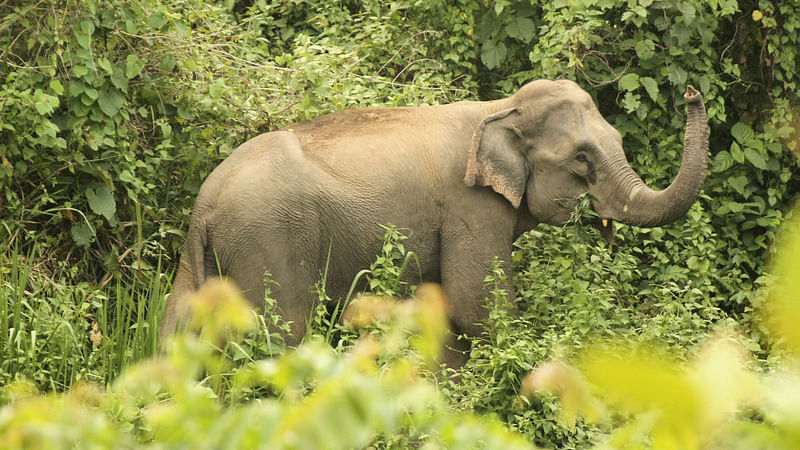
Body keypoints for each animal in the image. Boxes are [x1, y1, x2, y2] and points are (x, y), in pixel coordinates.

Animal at [161, 78, 708, 366]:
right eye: (581, 160)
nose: (691, 94)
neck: (501, 108)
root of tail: (206, 205)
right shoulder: (470, 207)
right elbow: (477, 306)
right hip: (270, 239)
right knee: (284, 333)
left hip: (201, 254)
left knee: (177, 324)